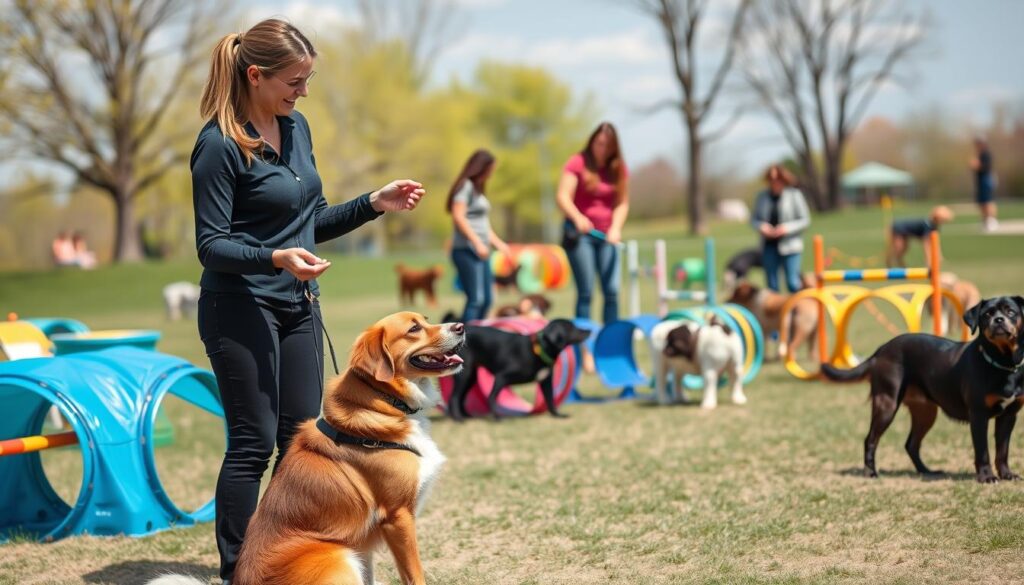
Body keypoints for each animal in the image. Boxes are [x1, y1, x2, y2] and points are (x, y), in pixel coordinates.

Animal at [448, 319, 593, 422]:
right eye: (571, 328)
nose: (589, 331)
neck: (540, 349)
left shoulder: (546, 381)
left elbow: (550, 400)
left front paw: (557, 415)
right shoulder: (501, 377)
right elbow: (491, 398)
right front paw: (497, 418)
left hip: (471, 376)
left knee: (460, 397)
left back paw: (465, 416)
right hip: (465, 375)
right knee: (455, 397)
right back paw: (458, 419)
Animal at [823, 295, 1024, 483]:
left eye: (1011, 311)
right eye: (987, 314)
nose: (998, 320)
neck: (1003, 364)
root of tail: (880, 351)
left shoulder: (1009, 416)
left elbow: (1002, 451)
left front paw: (1007, 474)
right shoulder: (978, 415)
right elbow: (983, 451)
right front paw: (987, 477)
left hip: (925, 412)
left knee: (911, 444)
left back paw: (926, 471)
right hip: (886, 404)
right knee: (871, 440)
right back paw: (870, 472)